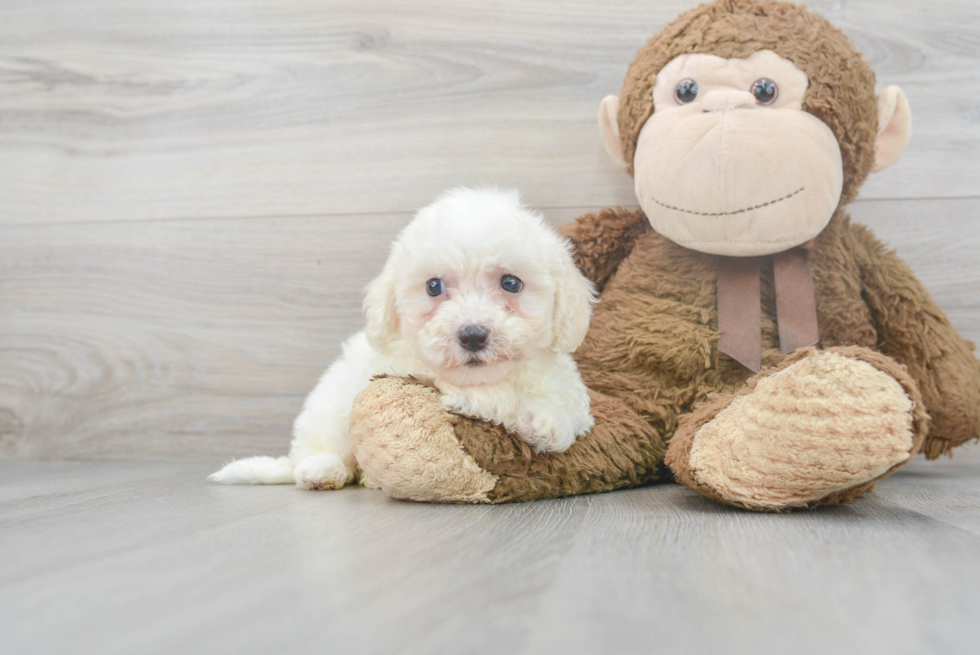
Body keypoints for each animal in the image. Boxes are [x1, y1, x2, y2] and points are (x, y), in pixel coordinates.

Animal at [210, 187, 592, 490]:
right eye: (433, 286)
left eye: (511, 283)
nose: (472, 336)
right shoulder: (410, 369)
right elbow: (477, 392)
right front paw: (499, 404)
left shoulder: (564, 383)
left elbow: (570, 409)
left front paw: (545, 423)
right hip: (331, 406)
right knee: (320, 451)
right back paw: (322, 470)